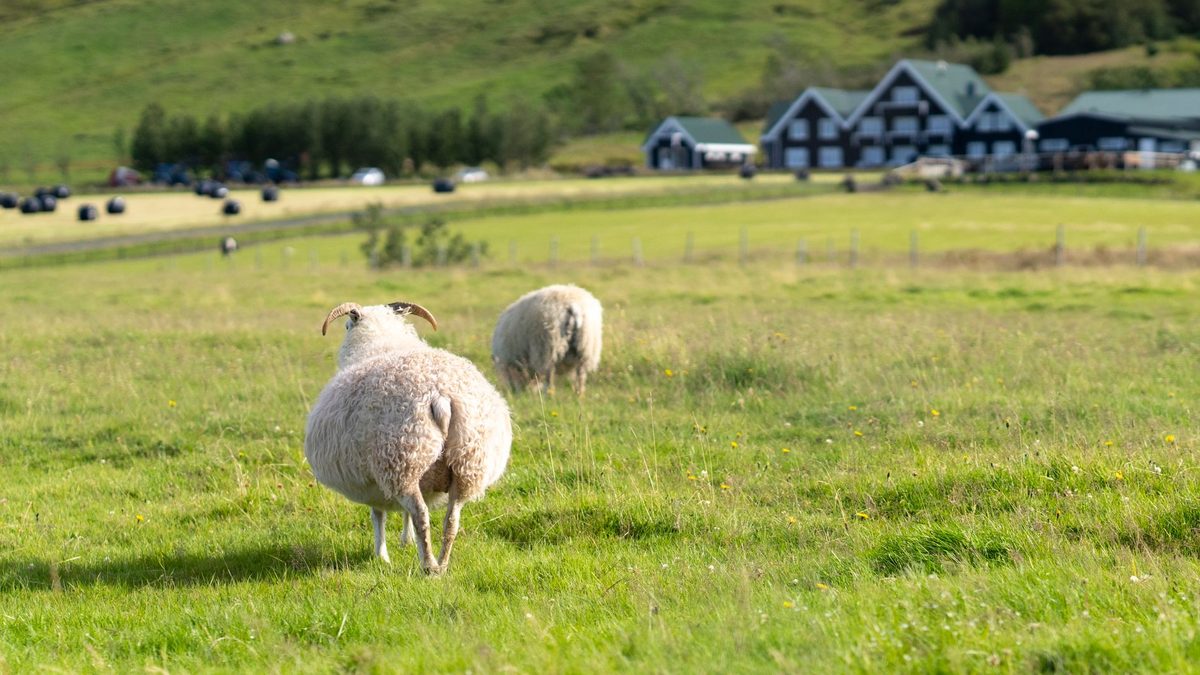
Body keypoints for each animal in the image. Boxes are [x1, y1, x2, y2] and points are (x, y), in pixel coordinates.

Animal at [305, 300, 512, 575]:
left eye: (347, 325)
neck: (380, 343)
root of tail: (441, 396)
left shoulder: (373, 479)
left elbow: (378, 515)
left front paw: (381, 555)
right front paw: (406, 540)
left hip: (401, 459)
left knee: (421, 513)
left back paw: (429, 566)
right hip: (466, 463)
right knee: (451, 519)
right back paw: (443, 563)